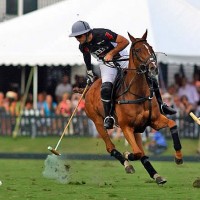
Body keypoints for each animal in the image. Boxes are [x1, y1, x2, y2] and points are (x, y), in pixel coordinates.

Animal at [83, 30, 183, 184]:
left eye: (150, 47)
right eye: (137, 50)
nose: (153, 67)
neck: (137, 91)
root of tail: (90, 88)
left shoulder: (154, 121)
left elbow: (172, 124)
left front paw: (178, 158)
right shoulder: (126, 127)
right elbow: (136, 152)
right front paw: (127, 154)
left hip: (138, 129)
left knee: (141, 152)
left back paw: (156, 175)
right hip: (98, 123)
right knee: (111, 147)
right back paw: (127, 164)